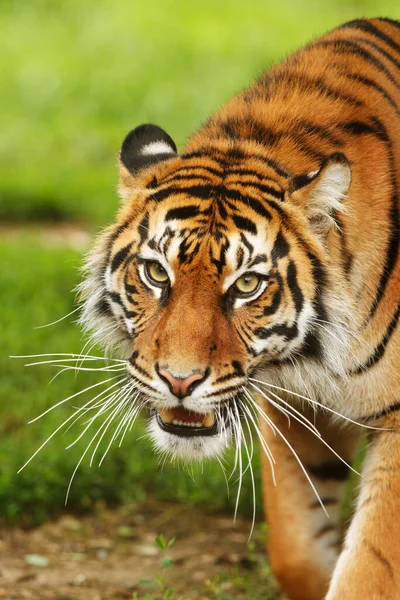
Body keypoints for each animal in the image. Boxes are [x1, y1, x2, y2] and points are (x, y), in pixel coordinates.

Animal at [79, 16, 400, 600]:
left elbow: (371, 568)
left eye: (247, 284)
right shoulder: (297, 403)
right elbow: (296, 548)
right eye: (156, 273)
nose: (179, 381)